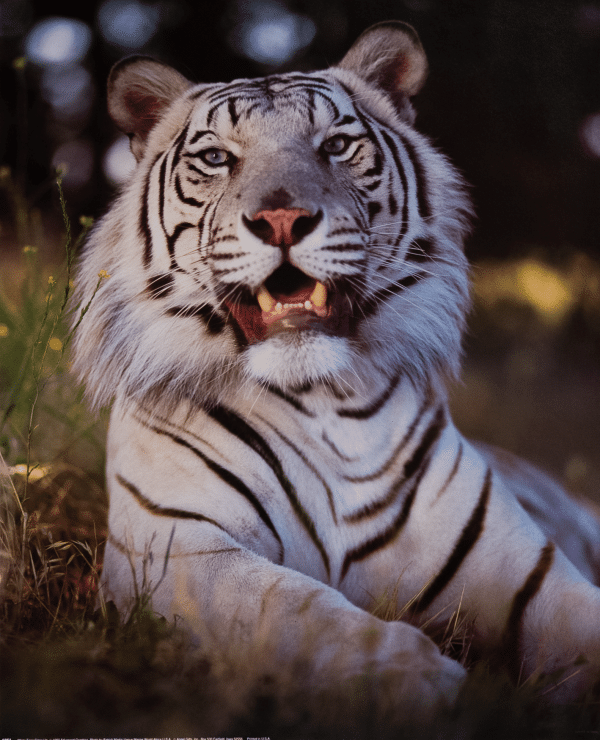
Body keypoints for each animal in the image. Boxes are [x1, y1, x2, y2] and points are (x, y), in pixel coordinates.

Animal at [71, 20, 600, 718]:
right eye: (216, 158)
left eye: (337, 146)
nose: (281, 219)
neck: (322, 401)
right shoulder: (179, 547)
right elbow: (297, 609)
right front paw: (419, 682)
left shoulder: (525, 569)